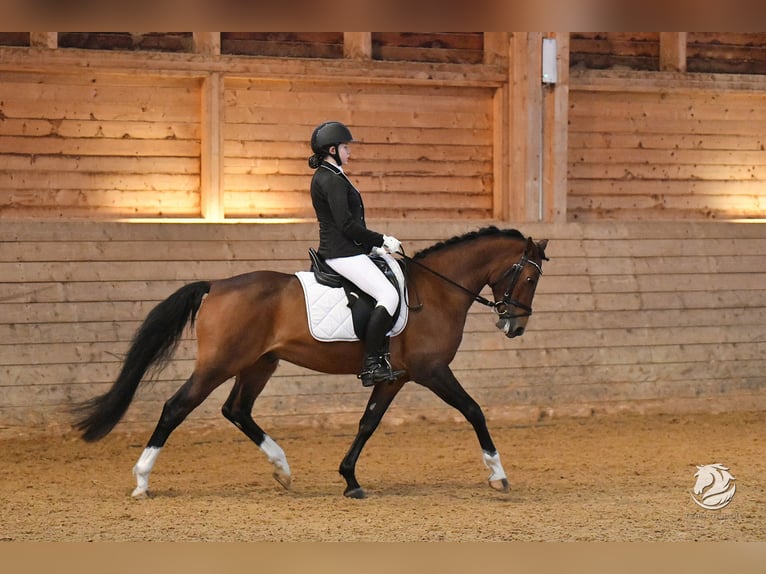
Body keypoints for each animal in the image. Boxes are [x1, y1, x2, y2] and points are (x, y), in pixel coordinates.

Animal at [72, 225, 548, 500]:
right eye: (528, 276)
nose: (516, 325)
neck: (435, 291)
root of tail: (217, 285)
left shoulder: (395, 377)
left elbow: (367, 423)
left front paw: (350, 479)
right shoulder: (432, 372)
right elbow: (473, 410)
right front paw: (498, 475)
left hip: (259, 364)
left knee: (236, 410)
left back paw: (282, 469)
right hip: (219, 364)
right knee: (176, 408)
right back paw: (142, 480)